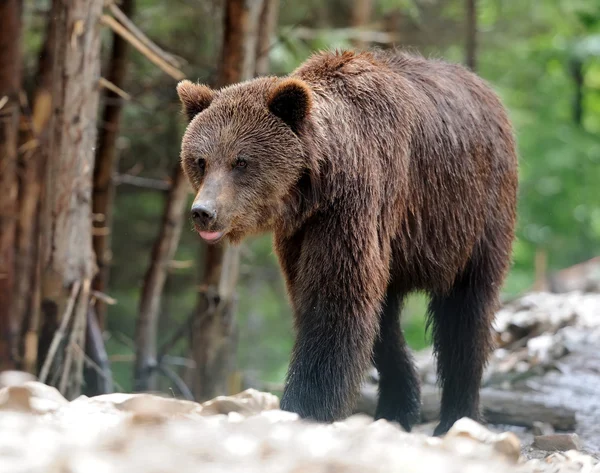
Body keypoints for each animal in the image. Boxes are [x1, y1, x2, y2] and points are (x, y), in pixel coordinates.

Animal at [176, 48, 516, 436]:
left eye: (241, 161)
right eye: (200, 160)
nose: (203, 212)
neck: (315, 188)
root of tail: (487, 91)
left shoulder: (355, 204)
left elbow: (335, 300)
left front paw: (305, 406)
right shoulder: (301, 233)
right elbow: (346, 306)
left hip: (472, 213)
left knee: (466, 313)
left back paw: (457, 415)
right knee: (388, 316)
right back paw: (397, 406)